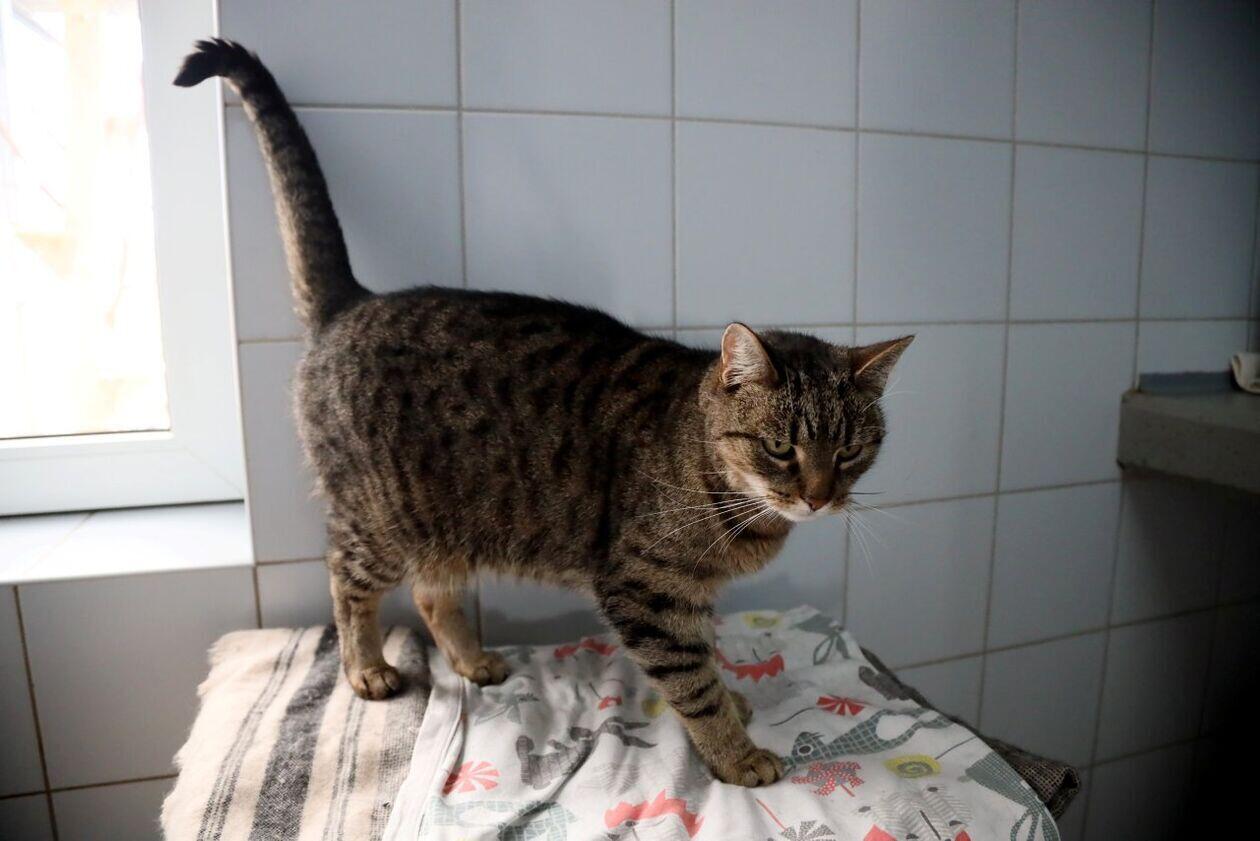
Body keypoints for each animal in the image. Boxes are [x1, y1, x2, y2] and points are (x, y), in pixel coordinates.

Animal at [174, 39, 911, 788]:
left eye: (849, 451)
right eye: (782, 449)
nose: (818, 497)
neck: (724, 489)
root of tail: (353, 300)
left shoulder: (692, 594)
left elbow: (710, 654)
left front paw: (733, 699)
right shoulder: (647, 589)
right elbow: (691, 679)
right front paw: (734, 751)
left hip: (441, 523)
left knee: (432, 593)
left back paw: (472, 659)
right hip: (378, 518)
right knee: (345, 578)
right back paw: (367, 666)